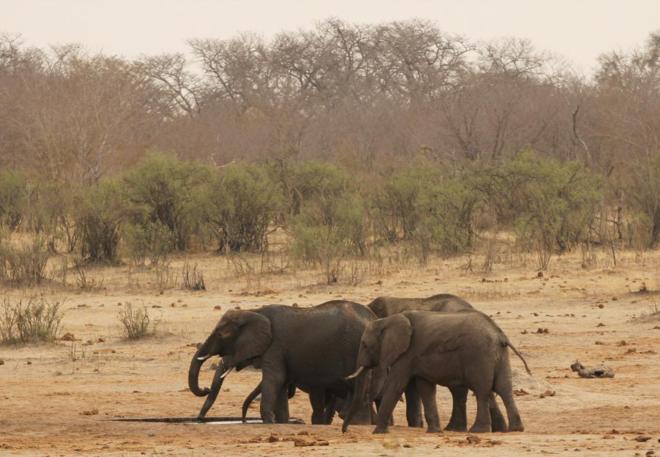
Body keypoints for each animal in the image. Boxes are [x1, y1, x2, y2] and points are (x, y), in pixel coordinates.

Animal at [188, 300, 378, 424]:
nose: (205, 388)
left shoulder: (275, 346)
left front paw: (268, 422)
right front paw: (280, 422)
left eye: (222, 335)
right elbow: (281, 383)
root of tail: (373, 318)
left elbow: (275, 379)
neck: (255, 311)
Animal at [342, 310, 528, 432]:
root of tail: (500, 335)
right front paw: (434, 431)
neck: (387, 320)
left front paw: (378, 432)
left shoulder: (406, 354)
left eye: (364, 344)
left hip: (479, 355)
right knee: (504, 389)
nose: (345, 431)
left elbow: (395, 385)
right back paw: (516, 429)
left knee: (482, 390)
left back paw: (478, 431)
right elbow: (426, 389)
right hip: (499, 355)